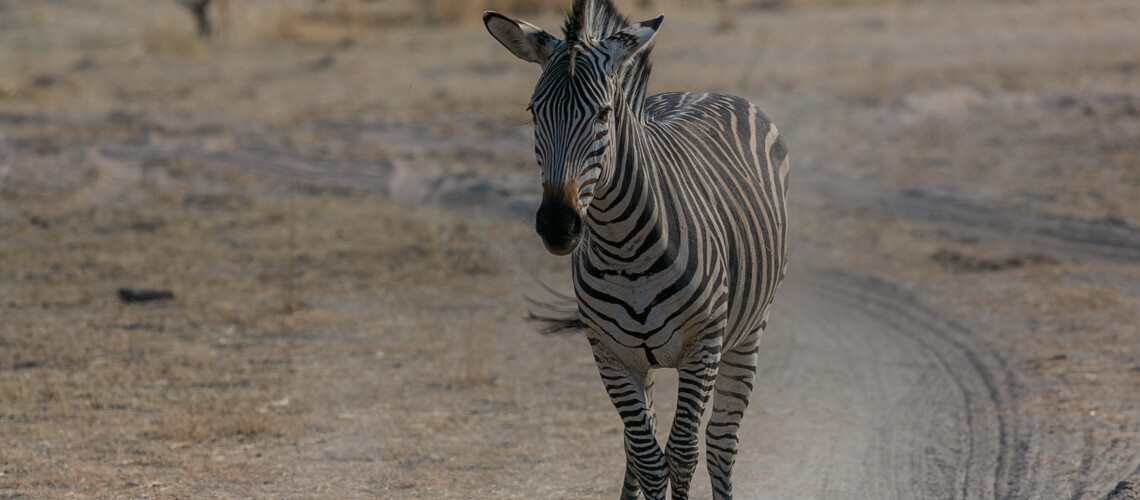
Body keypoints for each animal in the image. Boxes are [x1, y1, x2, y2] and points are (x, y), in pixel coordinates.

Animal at [484, 1, 789, 498]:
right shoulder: (611, 356)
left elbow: (682, 454)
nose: (557, 226)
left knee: (721, 442)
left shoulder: (702, 346)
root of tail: (702, 91)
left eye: (603, 114)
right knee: (639, 445)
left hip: (748, 332)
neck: (624, 248)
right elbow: (647, 458)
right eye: (533, 112)